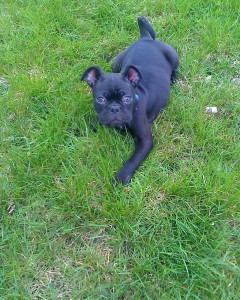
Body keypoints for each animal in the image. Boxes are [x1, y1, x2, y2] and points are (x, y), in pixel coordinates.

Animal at [80, 17, 178, 185]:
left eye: (127, 99)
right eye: (100, 99)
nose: (114, 108)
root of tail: (145, 38)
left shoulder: (145, 141)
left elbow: (133, 159)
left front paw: (121, 177)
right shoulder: (102, 117)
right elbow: (94, 123)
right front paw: (79, 130)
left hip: (174, 57)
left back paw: (174, 78)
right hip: (117, 62)